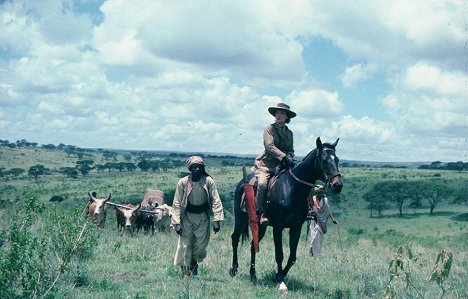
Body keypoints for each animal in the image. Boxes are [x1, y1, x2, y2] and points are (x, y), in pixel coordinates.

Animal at [229, 137, 342, 292]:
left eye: (337, 159)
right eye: (324, 159)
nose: (338, 185)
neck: (291, 188)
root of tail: (242, 183)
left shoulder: (296, 228)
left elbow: (292, 257)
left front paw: (278, 275)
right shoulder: (278, 227)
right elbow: (280, 255)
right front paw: (281, 280)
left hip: (261, 225)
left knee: (253, 244)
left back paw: (253, 274)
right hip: (241, 219)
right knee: (235, 238)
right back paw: (233, 269)